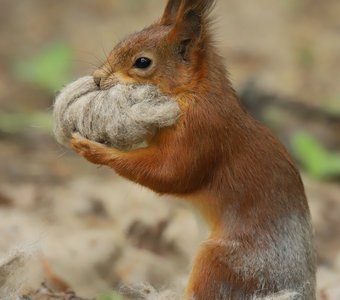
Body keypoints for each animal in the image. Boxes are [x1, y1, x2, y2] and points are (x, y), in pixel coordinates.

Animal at [69, 1, 316, 298]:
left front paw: (92, 149)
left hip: (223, 264)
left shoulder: (202, 132)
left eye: (142, 62)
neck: (195, 93)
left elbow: (173, 174)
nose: (96, 79)